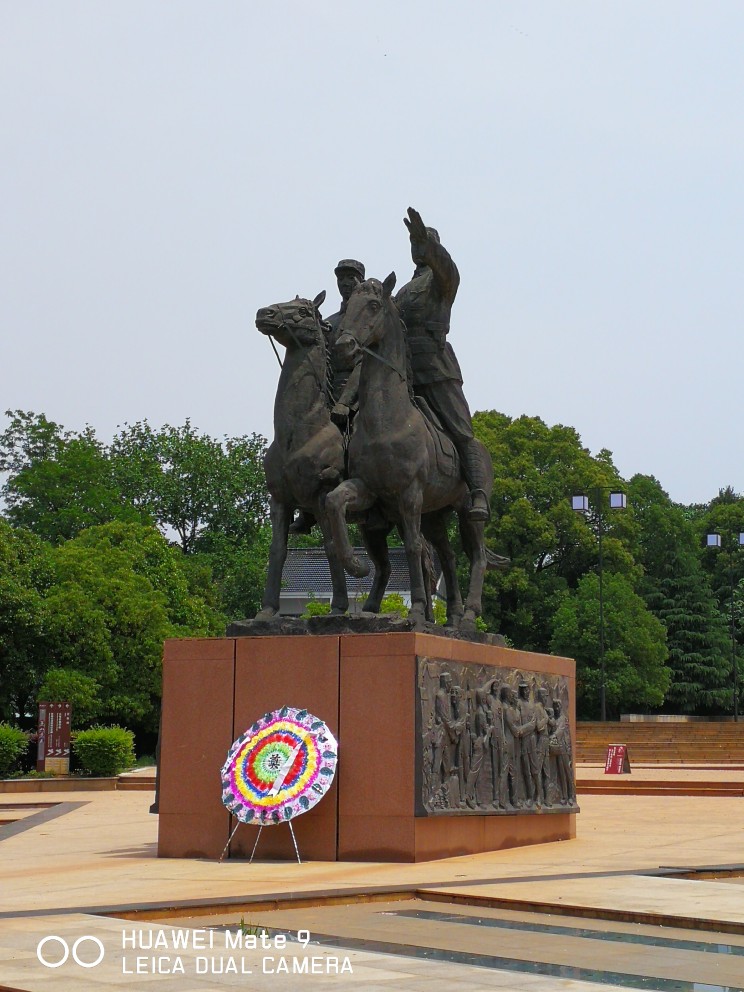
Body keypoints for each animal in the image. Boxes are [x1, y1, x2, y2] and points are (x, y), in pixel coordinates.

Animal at [324, 274, 502, 628]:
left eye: (373, 305)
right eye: (348, 306)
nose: (344, 346)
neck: (386, 420)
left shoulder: (410, 495)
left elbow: (411, 547)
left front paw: (418, 609)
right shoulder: (368, 489)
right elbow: (334, 501)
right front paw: (355, 565)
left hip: (468, 513)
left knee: (477, 557)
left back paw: (469, 615)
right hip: (436, 514)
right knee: (447, 555)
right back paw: (453, 615)